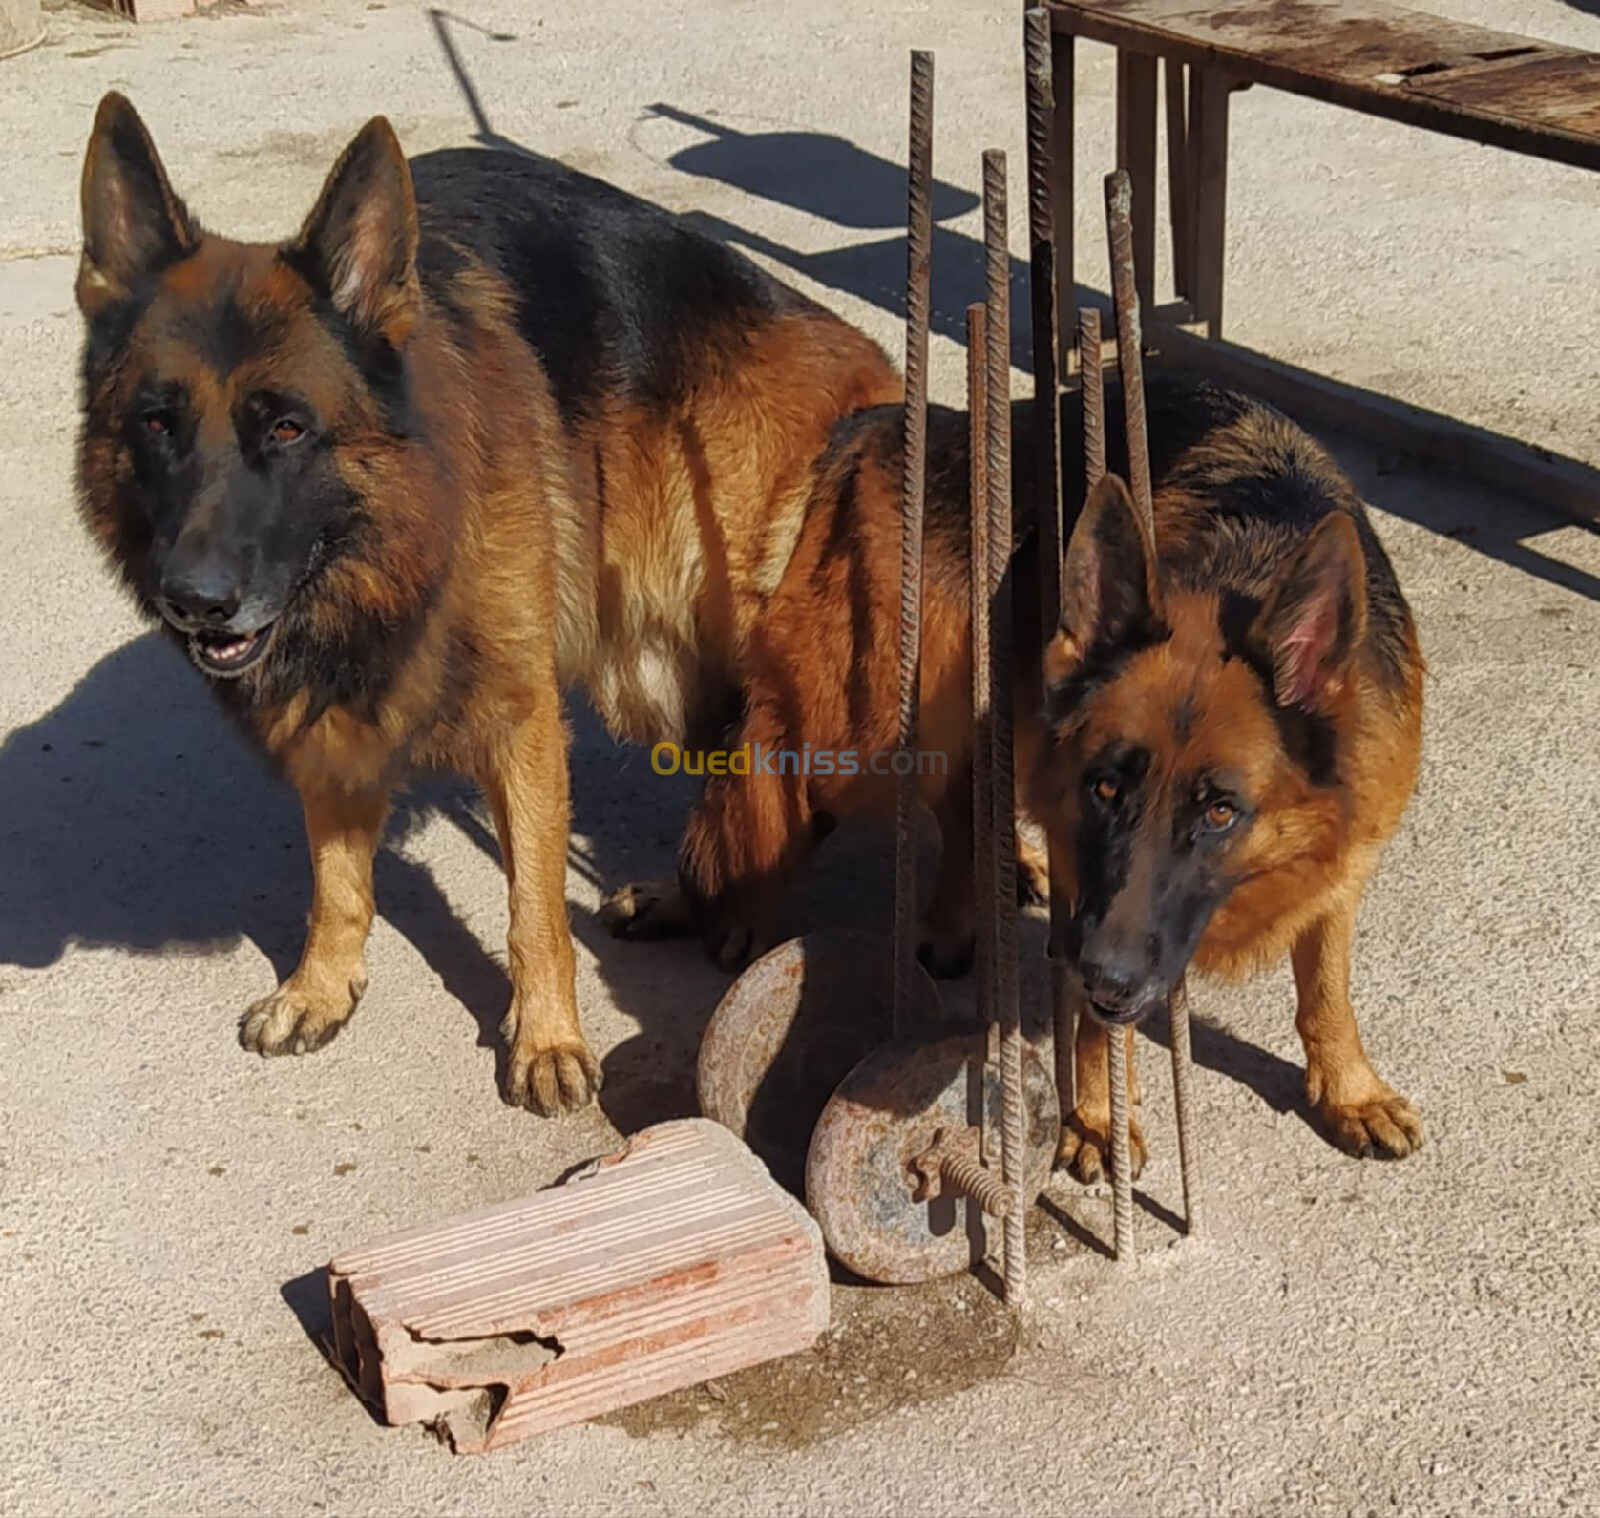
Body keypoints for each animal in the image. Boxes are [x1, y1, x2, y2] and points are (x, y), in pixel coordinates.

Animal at [72, 97, 902, 1113]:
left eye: (289, 428)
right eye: (157, 423)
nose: (195, 603)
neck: (401, 535)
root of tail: (868, 367)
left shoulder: (523, 721)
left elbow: (533, 903)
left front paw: (546, 1039)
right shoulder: (328, 717)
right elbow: (335, 880)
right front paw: (321, 986)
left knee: (776, 771)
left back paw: (743, 913)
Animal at [617, 379, 1420, 1158]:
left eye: (1220, 811)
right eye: (1106, 789)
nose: (1101, 973)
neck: (1244, 556)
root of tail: (886, 425)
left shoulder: (1344, 858)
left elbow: (1326, 985)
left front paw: (1349, 1088)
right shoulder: (1081, 848)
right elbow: (1100, 1022)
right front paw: (1098, 1115)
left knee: (965, 801)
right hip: (864, 732)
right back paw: (699, 904)